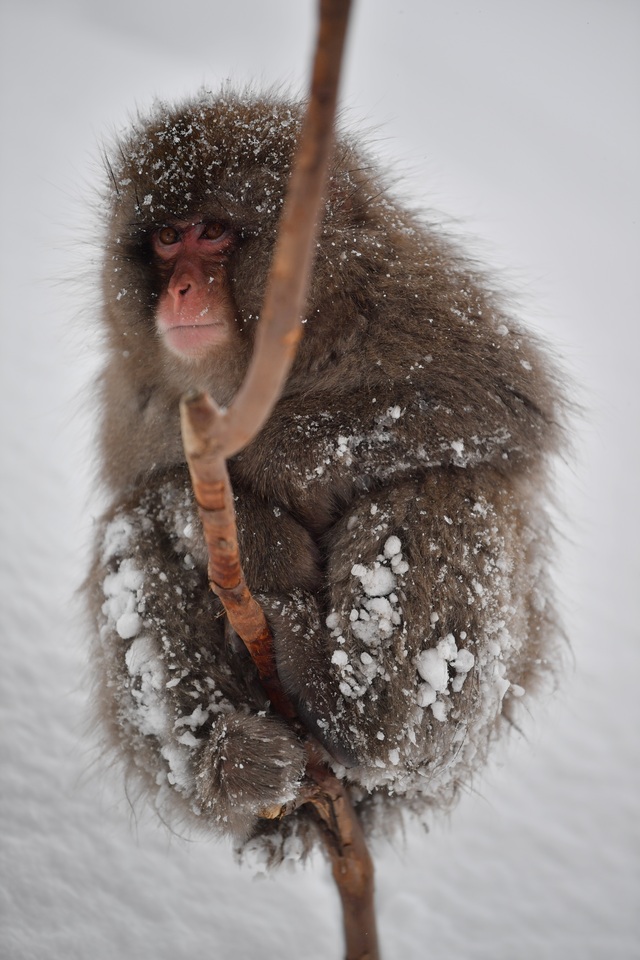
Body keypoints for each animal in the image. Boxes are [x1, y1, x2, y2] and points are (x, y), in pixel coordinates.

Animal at [89, 88, 564, 856]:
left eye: (213, 233)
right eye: (166, 238)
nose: (181, 291)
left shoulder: (400, 287)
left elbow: (498, 400)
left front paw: (263, 457)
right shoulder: (140, 395)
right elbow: (153, 490)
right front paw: (258, 538)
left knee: (445, 487)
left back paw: (348, 708)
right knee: (129, 529)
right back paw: (227, 762)